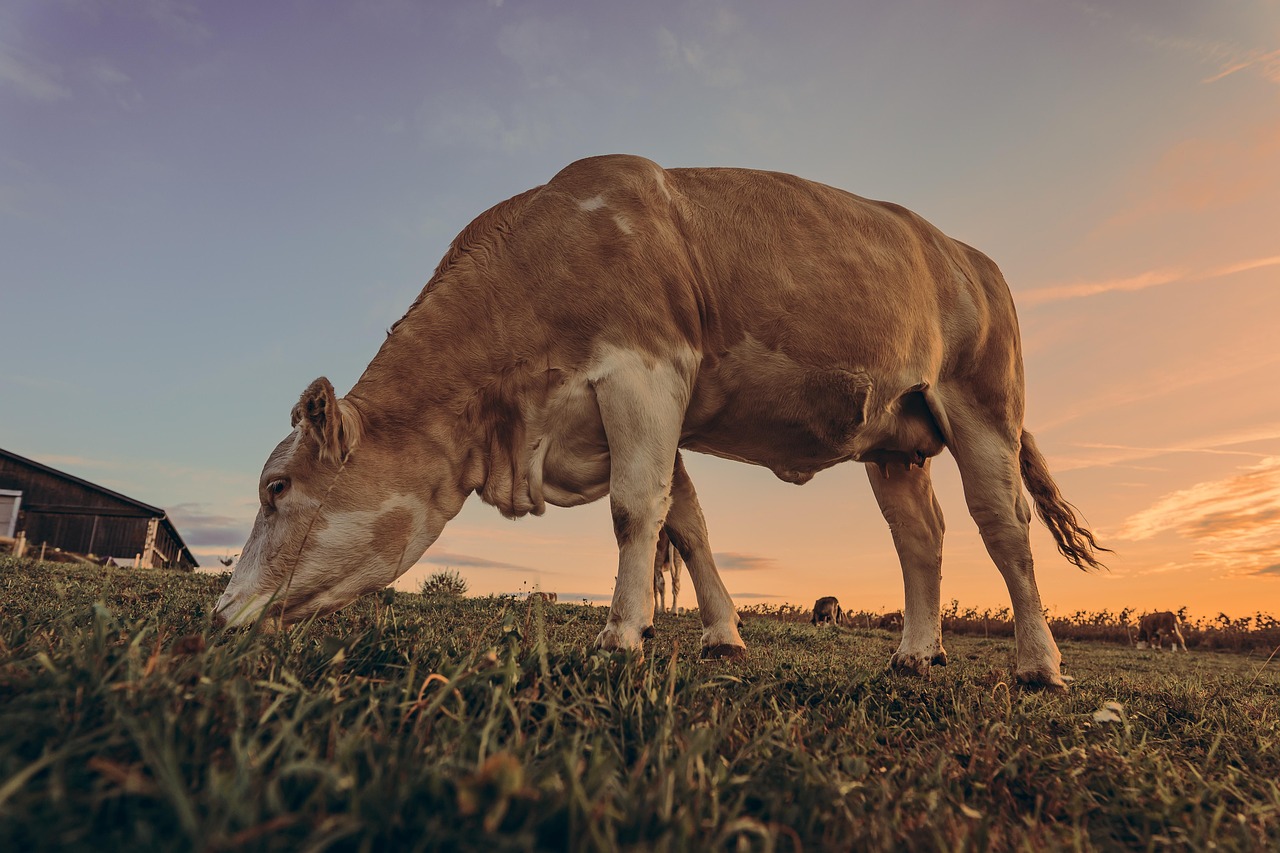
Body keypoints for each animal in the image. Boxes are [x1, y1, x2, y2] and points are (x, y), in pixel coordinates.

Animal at [212, 154, 1108, 689]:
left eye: (276, 486)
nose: (218, 612)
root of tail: (967, 254)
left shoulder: (644, 374)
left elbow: (635, 509)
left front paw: (621, 631)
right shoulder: (641, 409)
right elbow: (687, 521)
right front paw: (721, 633)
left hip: (983, 405)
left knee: (1004, 527)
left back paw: (1038, 661)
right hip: (895, 439)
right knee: (920, 537)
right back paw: (916, 651)